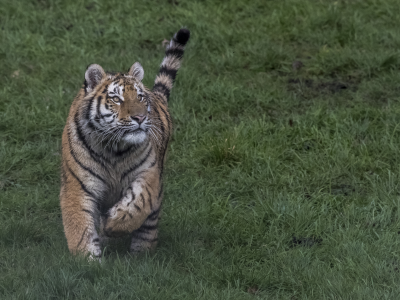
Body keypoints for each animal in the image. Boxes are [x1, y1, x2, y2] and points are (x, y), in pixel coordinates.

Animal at [59, 28, 191, 258]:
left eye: (140, 97)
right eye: (116, 99)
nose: (140, 117)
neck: (113, 148)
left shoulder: (149, 173)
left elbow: (139, 202)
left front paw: (114, 224)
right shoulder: (77, 186)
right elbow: (80, 227)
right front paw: (87, 260)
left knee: (148, 227)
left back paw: (141, 255)